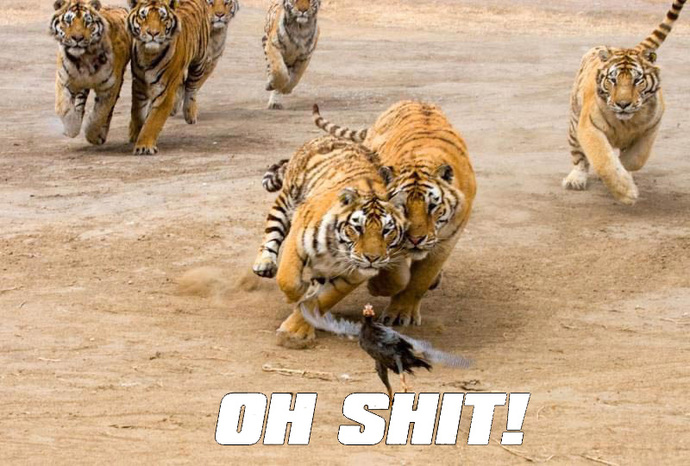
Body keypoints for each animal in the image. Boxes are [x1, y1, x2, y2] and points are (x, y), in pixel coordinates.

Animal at [50, 0, 131, 146]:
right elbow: (64, 108)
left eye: (87, 22)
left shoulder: (110, 87)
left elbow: (100, 114)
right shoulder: (63, 80)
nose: (77, 38)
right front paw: (71, 129)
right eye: (68, 21)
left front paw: (94, 136)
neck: (84, 58)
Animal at [127, 0, 212, 155]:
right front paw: (135, 133)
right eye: (143, 16)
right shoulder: (138, 86)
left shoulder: (165, 93)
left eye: (162, 17)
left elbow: (153, 121)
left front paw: (144, 146)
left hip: (199, 60)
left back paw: (190, 113)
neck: (148, 55)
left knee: (192, 86)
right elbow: (137, 113)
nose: (152, 33)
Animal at [252, 136, 407, 344]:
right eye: (358, 228)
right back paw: (264, 263)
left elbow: (325, 298)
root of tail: (331, 137)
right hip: (287, 200)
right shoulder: (298, 236)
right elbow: (287, 279)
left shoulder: (354, 275)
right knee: (272, 227)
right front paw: (297, 295)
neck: (337, 249)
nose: (372, 258)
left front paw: (297, 329)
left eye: (387, 231)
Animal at [313, 101, 477, 327]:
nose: (416, 239)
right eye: (402, 206)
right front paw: (377, 287)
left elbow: (419, 279)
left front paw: (401, 312)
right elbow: (396, 277)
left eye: (432, 207)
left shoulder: (446, 241)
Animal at [562, 0, 686, 204]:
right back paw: (575, 179)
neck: (626, 122)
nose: (623, 104)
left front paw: (625, 170)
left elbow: (637, 158)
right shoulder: (589, 127)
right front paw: (626, 192)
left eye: (637, 80)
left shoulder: (652, 127)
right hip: (574, 122)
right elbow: (603, 160)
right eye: (613, 80)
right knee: (579, 156)